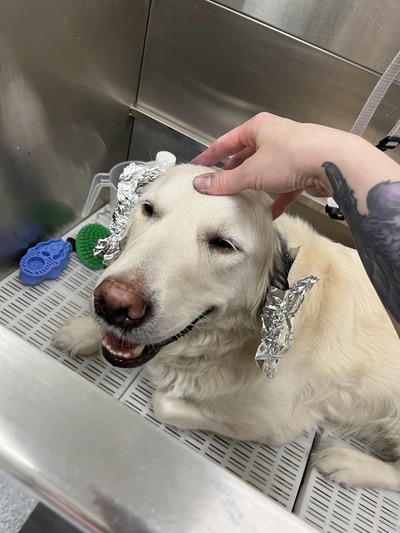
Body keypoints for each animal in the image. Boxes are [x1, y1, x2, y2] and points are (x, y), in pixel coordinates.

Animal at [54, 163, 400, 490]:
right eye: (148, 209)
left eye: (224, 244)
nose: (114, 304)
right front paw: (83, 331)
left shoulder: (274, 423)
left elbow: (162, 402)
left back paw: (348, 462)